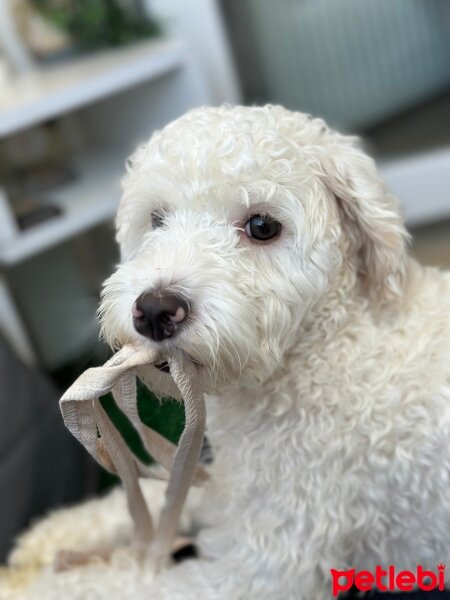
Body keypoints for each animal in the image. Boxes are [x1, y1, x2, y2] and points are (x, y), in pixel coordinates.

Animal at [6, 105, 450, 596]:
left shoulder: (260, 566)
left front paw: (27, 585)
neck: (326, 349)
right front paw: (51, 535)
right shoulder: (229, 487)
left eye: (262, 226)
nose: (154, 311)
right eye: (157, 218)